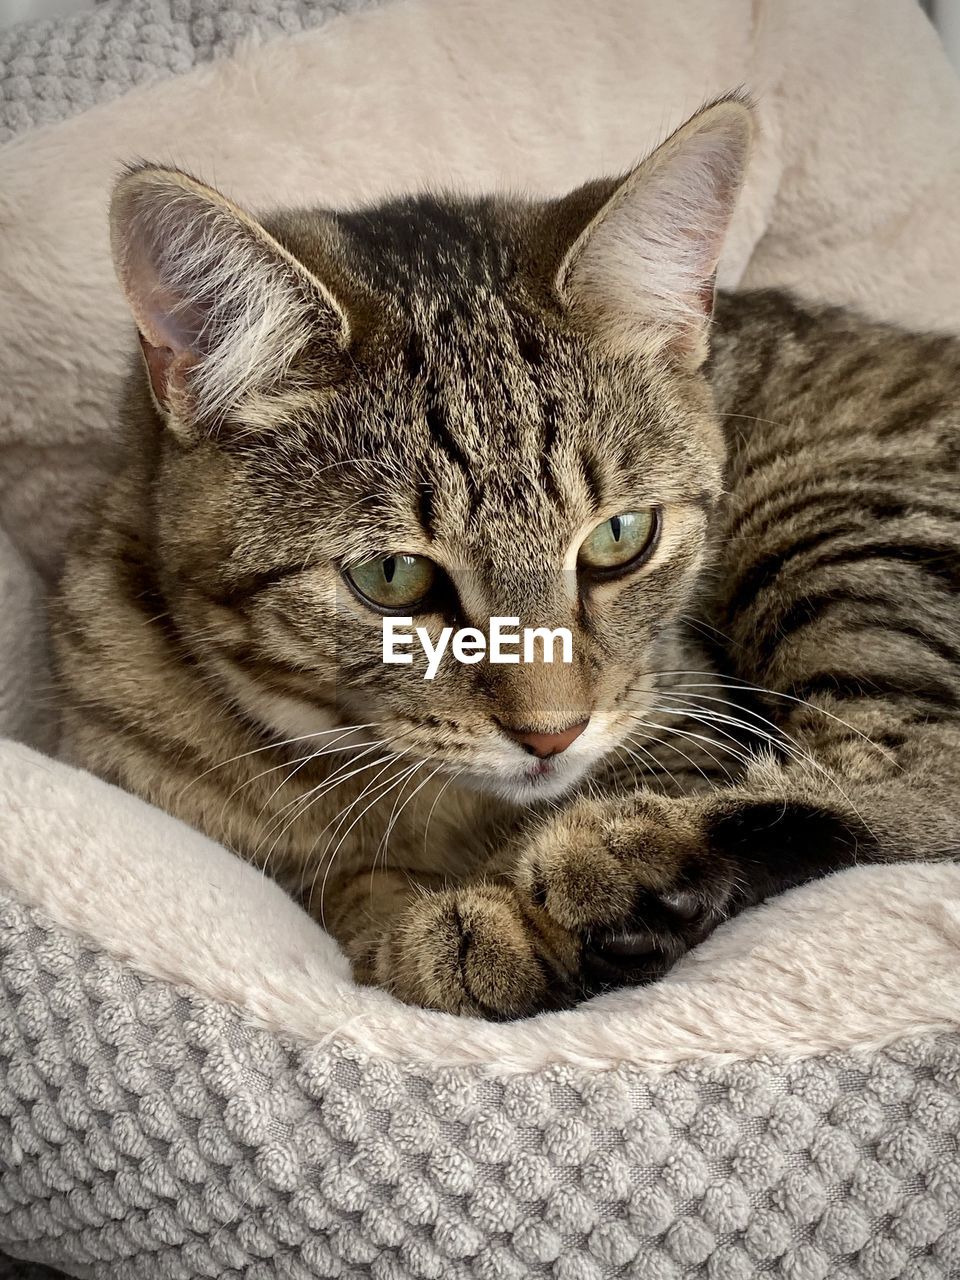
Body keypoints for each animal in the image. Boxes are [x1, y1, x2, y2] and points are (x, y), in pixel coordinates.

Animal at [52, 97, 960, 1018]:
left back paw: (628, 862)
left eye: (620, 537)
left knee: (918, 779)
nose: (553, 735)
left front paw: (496, 922)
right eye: (391, 578)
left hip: (836, 524)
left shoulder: (690, 705)